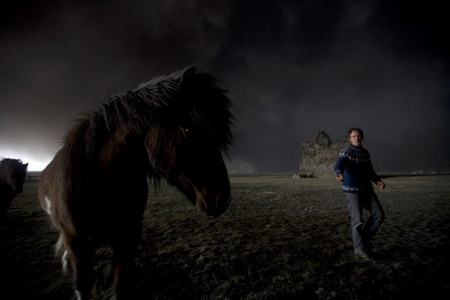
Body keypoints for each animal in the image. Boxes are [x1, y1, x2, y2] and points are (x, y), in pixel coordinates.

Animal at [38, 67, 234, 298]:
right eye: (188, 130)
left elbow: (122, 286)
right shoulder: (76, 242)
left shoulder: (127, 240)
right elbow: (83, 285)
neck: (99, 186)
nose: (222, 197)